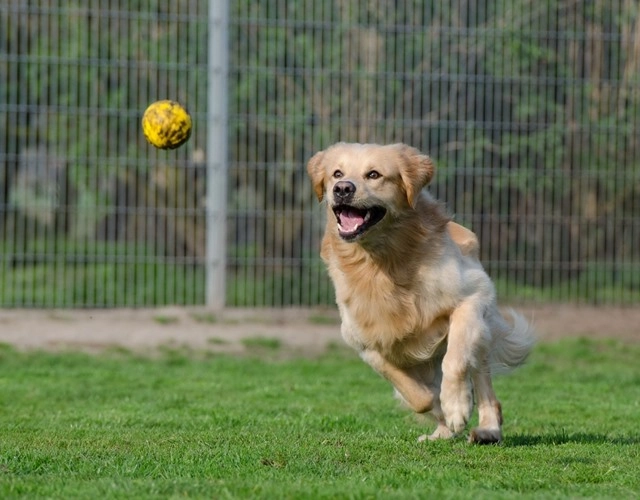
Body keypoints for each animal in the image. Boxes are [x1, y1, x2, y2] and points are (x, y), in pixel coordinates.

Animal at [306, 143, 536, 444]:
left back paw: (487, 428)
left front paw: (456, 405)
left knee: (483, 382)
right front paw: (444, 414)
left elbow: (455, 360)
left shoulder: (473, 296)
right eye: (337, 173)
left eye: (373, 174)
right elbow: (419, 396)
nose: (342, 188)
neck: (382, 262)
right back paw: (441, 432)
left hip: (481, 331)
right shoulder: (365, 343)